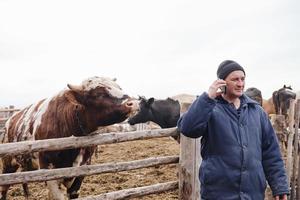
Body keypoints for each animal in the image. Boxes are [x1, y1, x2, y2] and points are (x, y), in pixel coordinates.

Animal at [0, 76, 139, 200]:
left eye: (119, 87)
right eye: (98, 94)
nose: (133, 103)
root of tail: (10, 120)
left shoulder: (81, 170)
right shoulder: (48, 170)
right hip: (8, 163)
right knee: (4, 187)